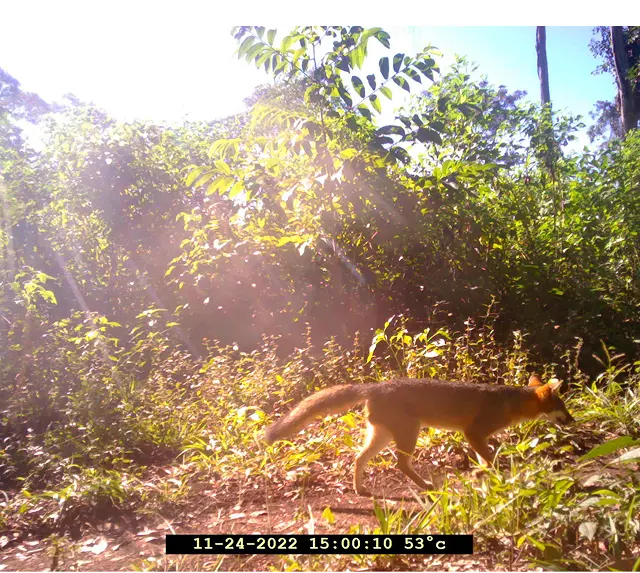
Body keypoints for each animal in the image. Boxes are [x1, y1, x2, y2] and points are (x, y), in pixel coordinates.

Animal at [265, 375, 574, 495]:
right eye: (564, 407)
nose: (573, 420)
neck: (510, 402)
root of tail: (376, 385)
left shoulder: (479, 437)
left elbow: (489, 457)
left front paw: (484, 475)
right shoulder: (473, 432)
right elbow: (491, 460)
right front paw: (491, 475)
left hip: (383, 437)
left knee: (358, 459)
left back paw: (360, 489)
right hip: (408, 436)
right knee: (400, 464)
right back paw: (425, 485)